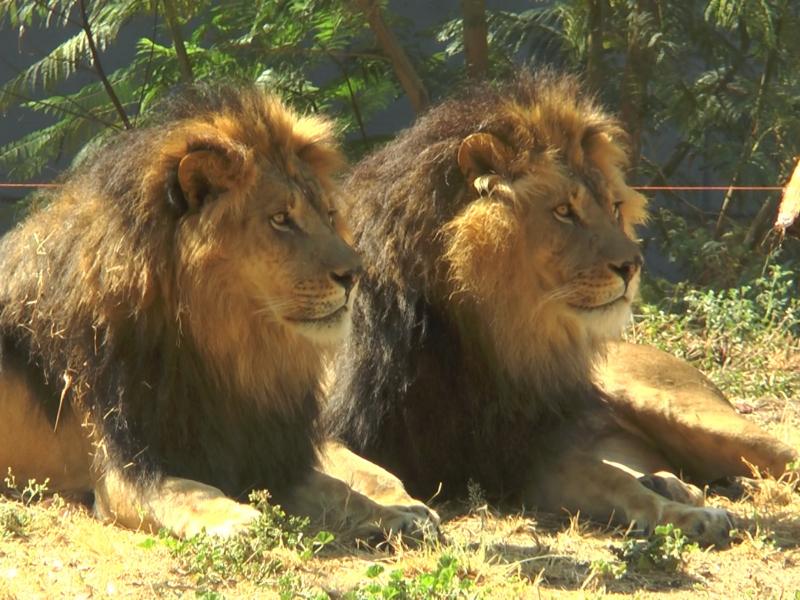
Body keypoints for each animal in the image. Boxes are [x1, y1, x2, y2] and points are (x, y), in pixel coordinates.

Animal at [0, 83, 438, 541]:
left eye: (330, 215)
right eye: (280, 219)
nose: (356, 274)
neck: (230, 351)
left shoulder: (266, 452)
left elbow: (340, 491)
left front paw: (397, 516)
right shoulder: (123, 467)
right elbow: (189, 491)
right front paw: (238, 517)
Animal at [325, 70, 797, 546]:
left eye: (614, 207)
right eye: (564, 211)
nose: (633, 265)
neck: (478, 332)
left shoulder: (529, 447)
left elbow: (616, 482)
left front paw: (690, 517)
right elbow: (371, 473)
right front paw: (400, 513)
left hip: (681, 408)